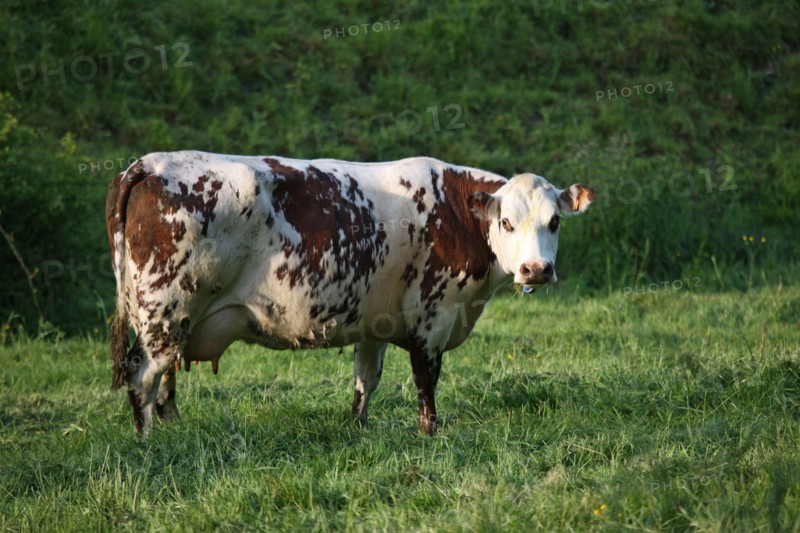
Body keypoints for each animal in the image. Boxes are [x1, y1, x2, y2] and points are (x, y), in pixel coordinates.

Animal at [106, 151, 594, 435]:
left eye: (554, 221)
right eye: (506, 222)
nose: (536, 269)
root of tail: (149, 164)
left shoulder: (374, 320)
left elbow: (366, 379)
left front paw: (357, 427)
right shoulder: (432, 315)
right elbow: (426, 379)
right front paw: (430, 432)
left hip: (176, 319)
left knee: (164, 380)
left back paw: (176, 430)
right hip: (166, 311)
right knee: (143, 375)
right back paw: (150, 441)